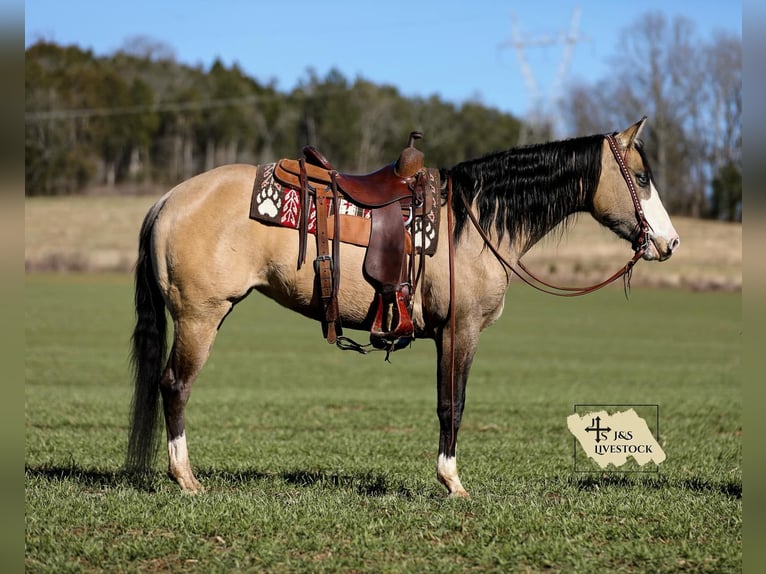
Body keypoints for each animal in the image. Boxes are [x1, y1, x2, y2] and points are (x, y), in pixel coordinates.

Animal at [127, 117, 679, 497]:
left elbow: (447, 403)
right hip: (200, 316)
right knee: (175, 385)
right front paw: (452, 482)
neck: (472, 222)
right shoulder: (461, 330)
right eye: (642, 177)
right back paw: (185, 478)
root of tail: (168, 200)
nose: (669, 242)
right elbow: (452, 404)